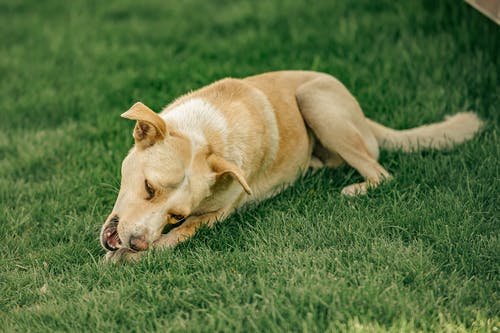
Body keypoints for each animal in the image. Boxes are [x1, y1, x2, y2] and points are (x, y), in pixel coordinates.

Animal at [99, 70, 482, 262]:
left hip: (315, 99)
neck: (206, 136)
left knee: (381, 172)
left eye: (176, 214)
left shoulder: (216, 216)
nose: (137, 244)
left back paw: (356, 188)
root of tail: (362, 115)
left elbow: (178, 237)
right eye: (149, 188)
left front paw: (130, 259)